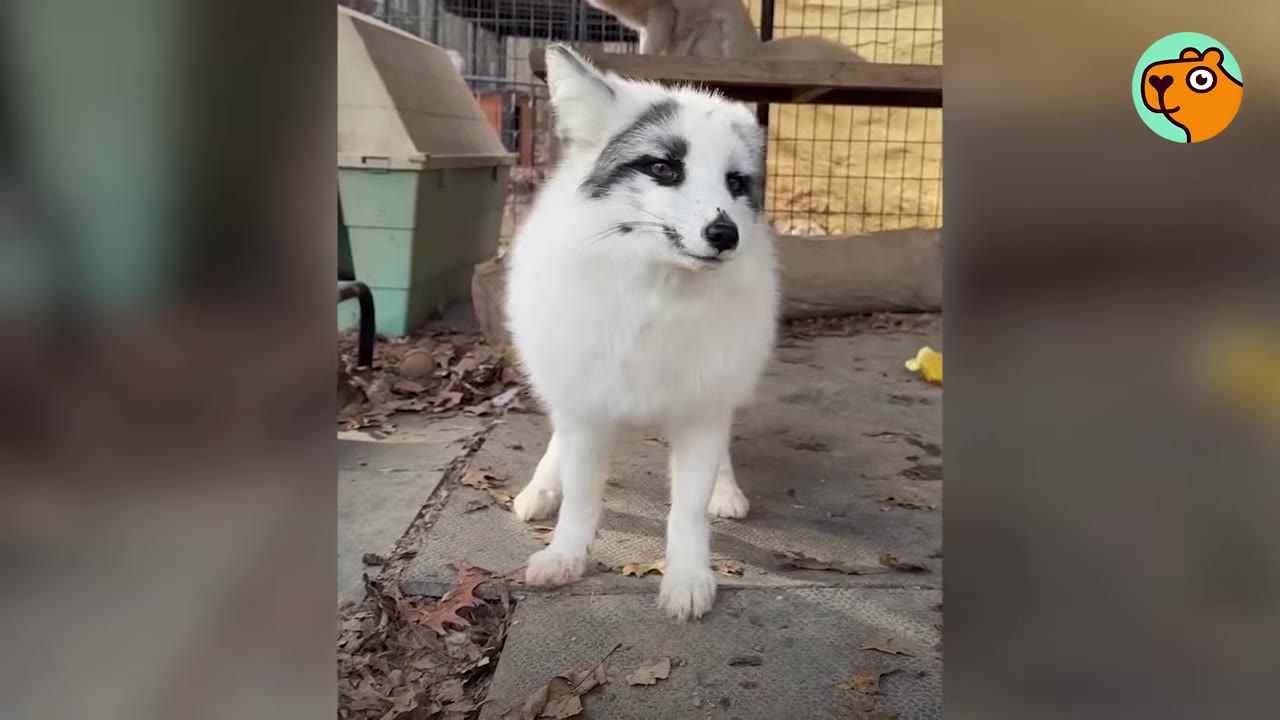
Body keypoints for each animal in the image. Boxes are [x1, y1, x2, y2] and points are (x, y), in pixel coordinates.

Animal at [503, 44, 779, 621]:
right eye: (663, 167)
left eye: (736, 183)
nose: (725, 233)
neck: (655, 298)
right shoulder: (586, 410)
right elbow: (582, 499)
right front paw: (565, 556)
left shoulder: (702, 412)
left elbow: (688, 512)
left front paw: (688, 578)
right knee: (558, 441)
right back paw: (541, 487)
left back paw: (725, 489)